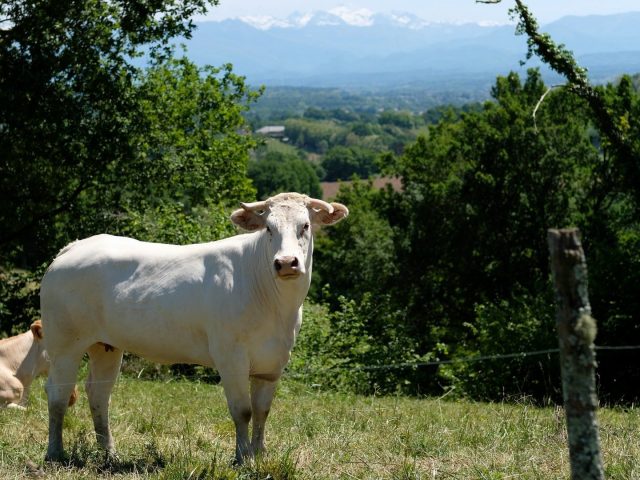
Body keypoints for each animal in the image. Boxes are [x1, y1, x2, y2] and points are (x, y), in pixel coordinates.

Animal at [40, 193, 348, 464]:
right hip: (63, 342)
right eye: (269, 228)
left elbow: (262, 411)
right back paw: (55, 453)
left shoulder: (274, 361)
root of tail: (75, 247)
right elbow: (243, 411)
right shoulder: (230, 355)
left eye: (304, 225)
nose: (285, 263)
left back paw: (109, 454)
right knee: (57, 394)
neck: (277, 306)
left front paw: (260, 455)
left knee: (99, 395)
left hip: (106, 345)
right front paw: (243, 458)